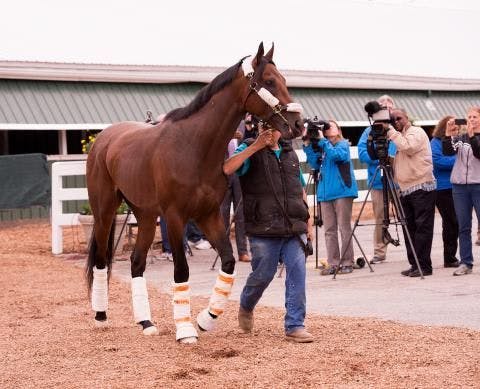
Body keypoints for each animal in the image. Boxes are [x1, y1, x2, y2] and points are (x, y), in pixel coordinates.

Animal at [85, 43, 304, 342]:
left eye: (283, 80)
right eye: (269, 81)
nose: (298, 124)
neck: (193, 146)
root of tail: (103, 139)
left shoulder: (208, 215)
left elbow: (228, 262)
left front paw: (205, 319)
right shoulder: (176, 218)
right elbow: (181, 270)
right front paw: (185, 330)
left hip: (145, 215)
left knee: (137, 262)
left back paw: (146, 322)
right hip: (105, 211)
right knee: (100, 259)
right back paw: (100, 317)